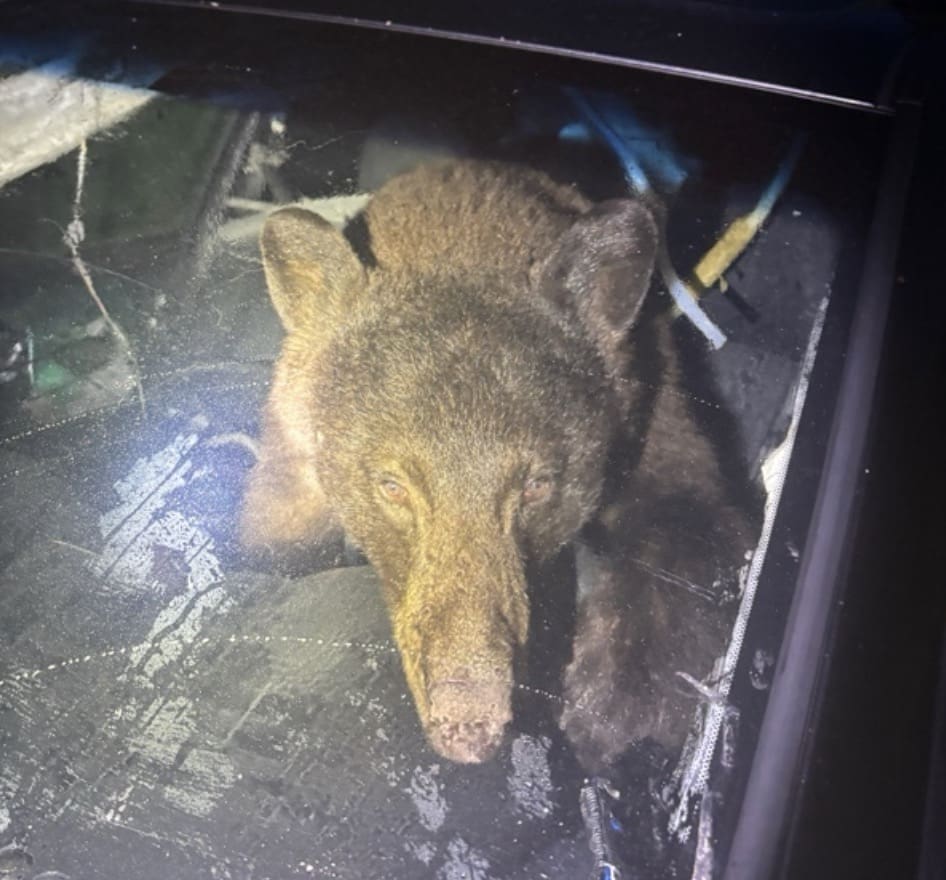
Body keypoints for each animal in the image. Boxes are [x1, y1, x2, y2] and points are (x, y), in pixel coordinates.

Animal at [240, 159, 759, 769]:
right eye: (391, 486)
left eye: (538, 485)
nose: (469, 725)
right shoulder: (292, 450)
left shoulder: (655, 406)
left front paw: (621, 700)